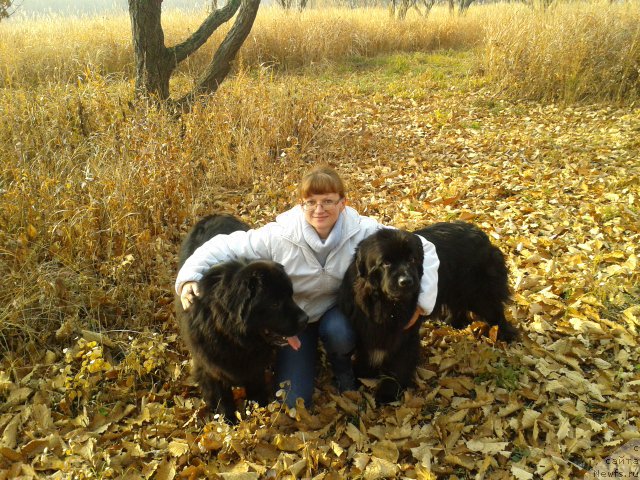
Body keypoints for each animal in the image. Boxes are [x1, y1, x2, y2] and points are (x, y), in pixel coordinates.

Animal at [176, 214, 308, 420]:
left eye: (290, 295)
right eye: (275, 303)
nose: (305, 319)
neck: (231, 337)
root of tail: (213, 215)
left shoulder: (254, 367)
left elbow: (256, 389)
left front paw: (259, 411)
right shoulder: (210, 368)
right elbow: (222, 400)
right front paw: (229, 422)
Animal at [338, 223, 516, 404]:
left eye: (412, 259)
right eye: (386, 263)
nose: (406, 281)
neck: (385, 304)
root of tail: (481, 233)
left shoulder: (405, 335)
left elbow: (398, 363)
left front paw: (388, 392)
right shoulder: (366, 329)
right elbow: (368, 352)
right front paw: (363, 373)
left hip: (479, 294)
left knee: (495, 312)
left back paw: (506, 335)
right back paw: (454, 322)